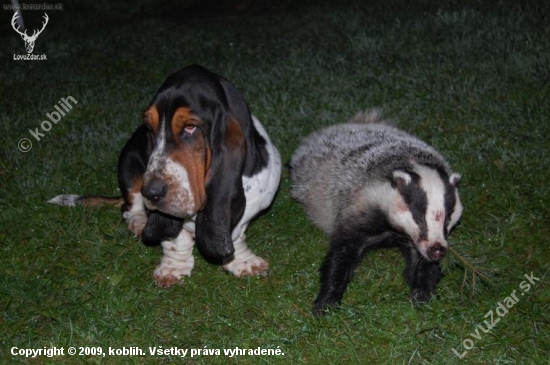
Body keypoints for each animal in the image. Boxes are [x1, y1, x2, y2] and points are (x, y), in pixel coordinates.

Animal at [49, 65, 282, 288]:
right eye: (149, 128)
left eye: (190, 127)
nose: (151, 192)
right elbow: (176, 239)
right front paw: (173, 268)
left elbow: (236, 233)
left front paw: (243, 261)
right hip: (128, 161)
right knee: (129, 206)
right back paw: (139, 221)